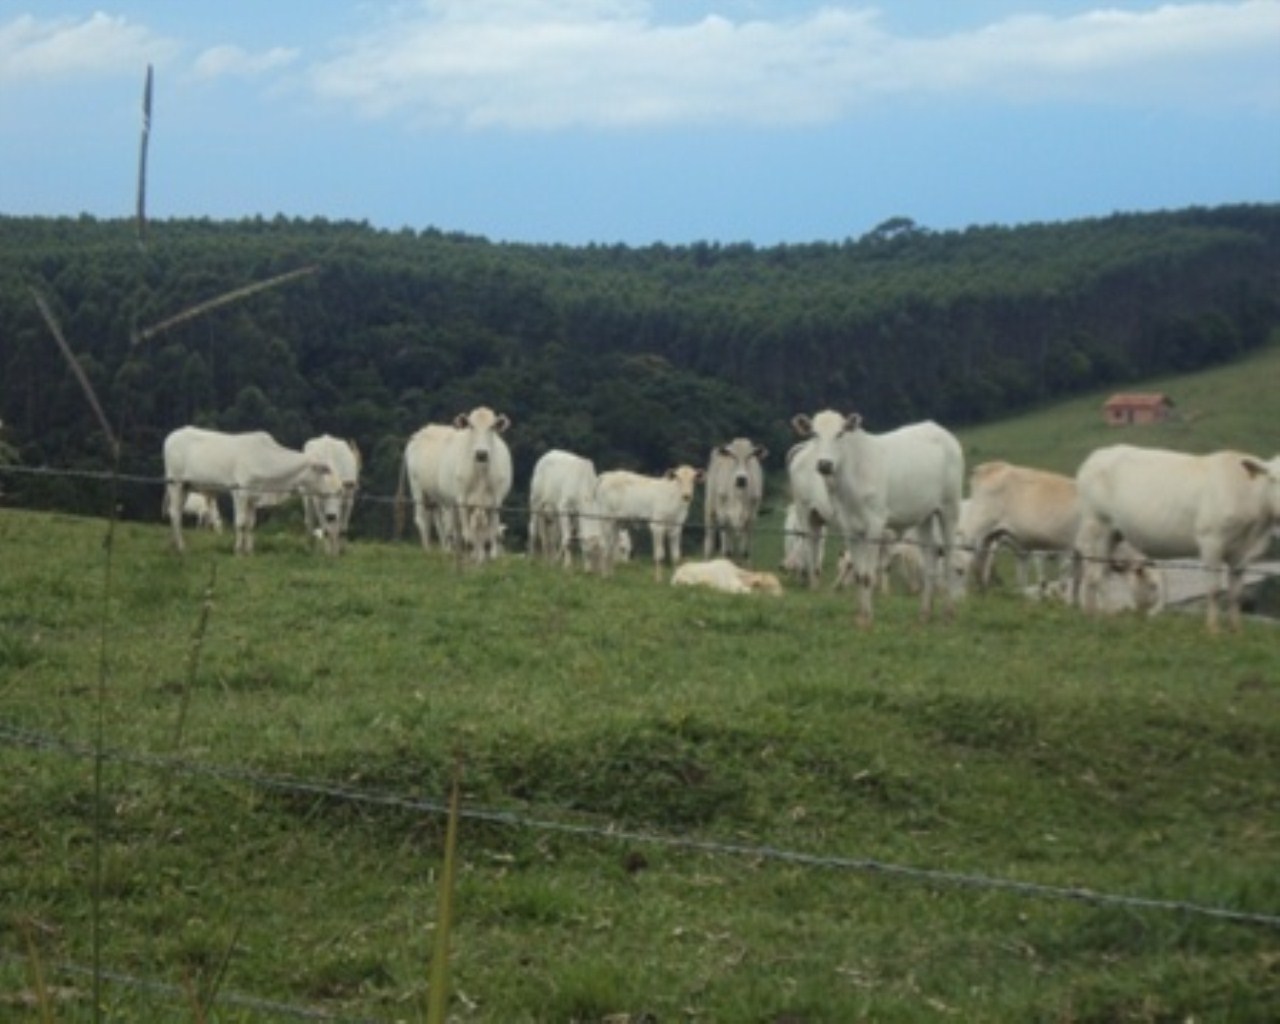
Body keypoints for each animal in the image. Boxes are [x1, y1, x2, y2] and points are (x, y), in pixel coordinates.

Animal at [165, 424, 345, 555]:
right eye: (326, 471)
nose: (332, 516)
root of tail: (172, 436)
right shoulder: (240, 492)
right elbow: (240, 523)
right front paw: (238, 551)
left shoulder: (254, 497)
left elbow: (250, 524)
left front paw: (249, 551)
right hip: (175, 483)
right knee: (174, 513)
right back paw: (180, 547)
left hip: (186, 486)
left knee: (177, 512)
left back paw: (174, 545)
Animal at [788, 407, 962, 624]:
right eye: (814, 433)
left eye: (840, 433)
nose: (825, 464)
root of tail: (939, 429)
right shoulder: (849, 527)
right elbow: (860, 573)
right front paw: (861, 615)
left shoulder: (876, 524)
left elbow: (868, 575)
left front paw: (868, 618)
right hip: (924, 515)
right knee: (930, 558)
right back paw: (925, 613)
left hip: (950, 507)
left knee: (949, 557)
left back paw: (949, 612)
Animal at [1075, 445, 1274, 632]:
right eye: (1273, 479)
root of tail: (1098, 455)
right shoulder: (1211, 540)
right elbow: (1214, 588)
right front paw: (1213, 629)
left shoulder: (1242, 551)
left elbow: (1236, 592)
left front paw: (1236, 629)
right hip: (1097, 525)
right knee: (1096, 574)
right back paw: (1107, 615)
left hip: (1113, 534)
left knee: (1097, 573)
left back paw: (1091, 613)